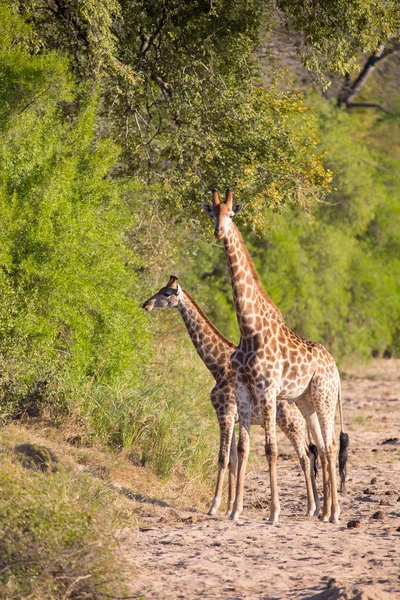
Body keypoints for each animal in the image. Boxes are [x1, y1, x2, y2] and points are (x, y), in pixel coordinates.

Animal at [142, 276, 320, 516]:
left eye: (167, 293)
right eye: (160, 290)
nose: (146, 304)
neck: (216, 365)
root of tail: (300, 400)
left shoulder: (224, 412)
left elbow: (223, 458)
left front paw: (214, 506)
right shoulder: (231, 417)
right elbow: (234, 460)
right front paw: (229, 508)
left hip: (291, 423)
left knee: (305, 457)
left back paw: (311, 508)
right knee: (310, 455)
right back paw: (316, 508)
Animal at [202, 190, 348, 524]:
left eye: (231, 214)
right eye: (212, 213)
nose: (218, 232)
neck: (249, 328)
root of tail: (335, 367)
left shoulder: (268, 390)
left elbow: (270, 449)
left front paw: (274, 512)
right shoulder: (244, 391)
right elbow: (243, 448)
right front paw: (235, 510)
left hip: (323, 397)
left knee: (331, 445)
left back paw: (334, 513)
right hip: (306, 402)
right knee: (322, 447)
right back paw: (325, 513)